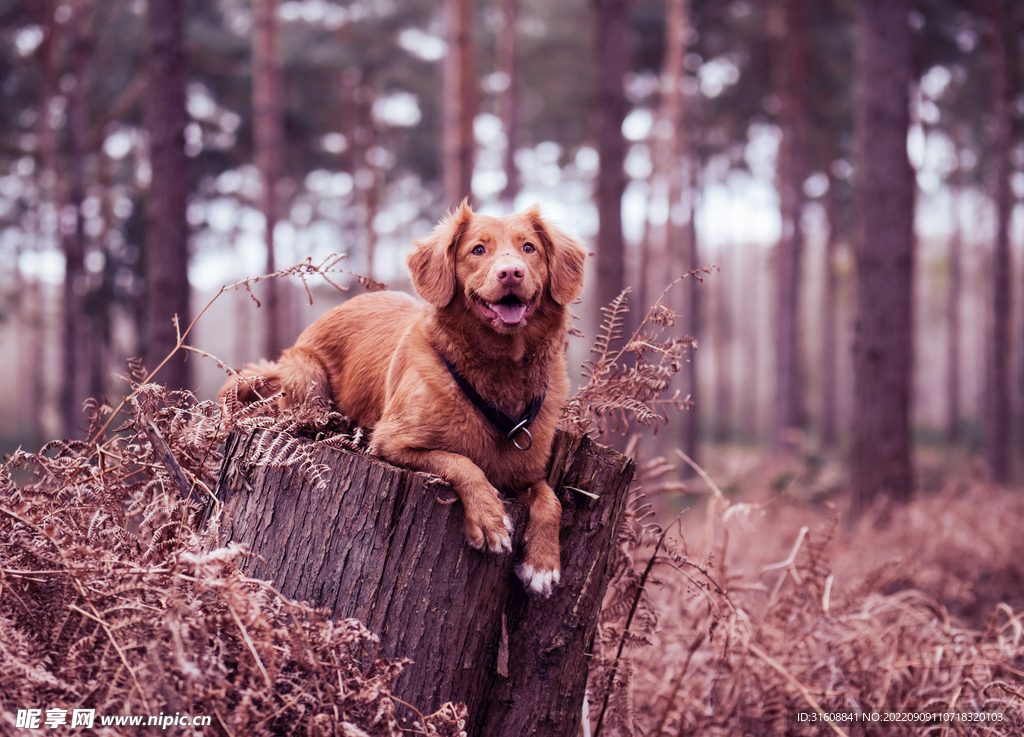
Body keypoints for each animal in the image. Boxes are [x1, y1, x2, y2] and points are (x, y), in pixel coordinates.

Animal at [224, 202, 589, 597]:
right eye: (478, 250)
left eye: (529, 248)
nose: (511, 273)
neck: (500, 370)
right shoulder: (391, 442)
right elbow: (461, 461)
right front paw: (489, 517)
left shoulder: (525, 471)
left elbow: (550, 499)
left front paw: (543, 563)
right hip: (306, 374)